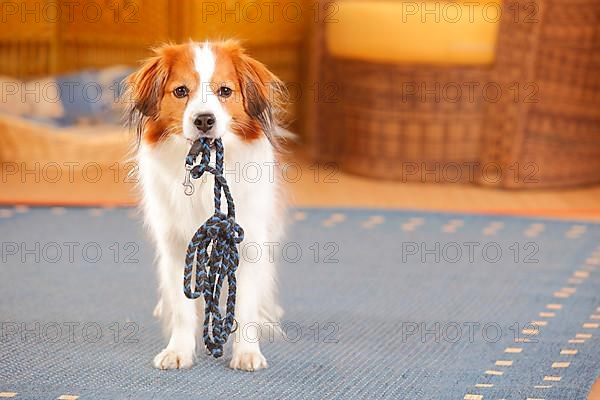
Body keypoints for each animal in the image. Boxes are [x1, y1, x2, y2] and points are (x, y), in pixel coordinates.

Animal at [125, 40, 288, 372]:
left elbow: (246, 304)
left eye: (225, 91)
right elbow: (182, 306)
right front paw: (178, 350)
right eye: (180, 91)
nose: (204, 120)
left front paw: (247, 353)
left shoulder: (246, 243)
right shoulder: (177, 245)